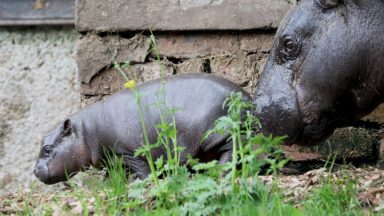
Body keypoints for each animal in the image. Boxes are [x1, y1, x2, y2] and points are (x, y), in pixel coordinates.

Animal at [34, 74, 252, 184]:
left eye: (47, 149)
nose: (34, 170)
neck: (85, 131)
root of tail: (247, 98)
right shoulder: (114, 159)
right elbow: (112, 176)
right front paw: (110, 186)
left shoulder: (129, 152)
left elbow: (143, 171)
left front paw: (139, 183)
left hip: (216, 135)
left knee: (234, 150)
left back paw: (222, 171)